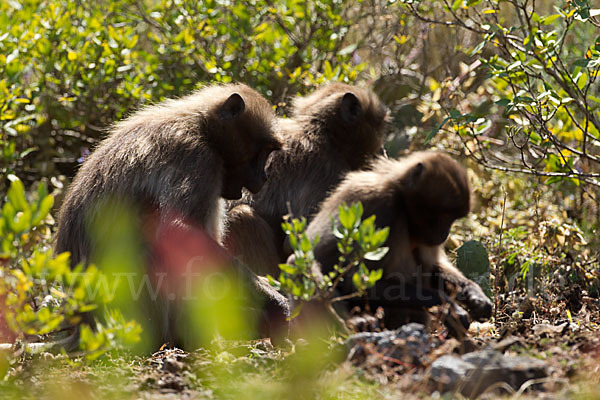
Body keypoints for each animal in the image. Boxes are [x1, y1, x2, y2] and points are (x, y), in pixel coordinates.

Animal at [55, 83, 290, 348]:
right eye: (263, 152)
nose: (264, 178)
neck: (202, 127)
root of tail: (85, 327)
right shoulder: (197, 157)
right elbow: (179, 230)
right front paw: (275, 304)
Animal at [225, 83, 390, 278]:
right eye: (379, 125)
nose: (382, 150)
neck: (320, 131)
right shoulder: (330, 173)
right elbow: (296, 245)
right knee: (242, 217)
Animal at [290, 152, 492, 332]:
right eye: (442, 216)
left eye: (452, 219)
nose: (445, 234)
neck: (401, 199)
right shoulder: (380, 205)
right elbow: (355, 283)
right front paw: (450, 306)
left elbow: (433, 267)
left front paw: (474, 294)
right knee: (300, 265)